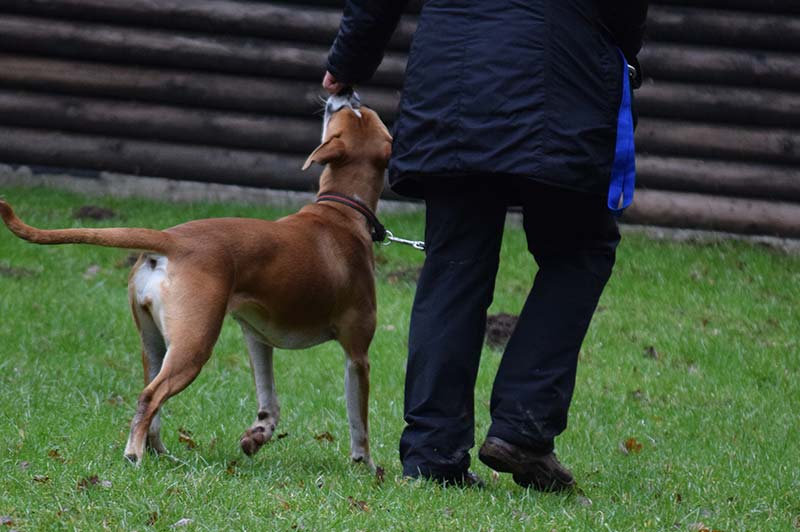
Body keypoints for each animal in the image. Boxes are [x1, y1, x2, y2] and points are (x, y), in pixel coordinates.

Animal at [0, 93, 394, 468]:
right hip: (193, 347)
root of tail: (171, 240)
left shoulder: (257, 339)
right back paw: (134, 455)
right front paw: (365, 464)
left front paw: (258, 435)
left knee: (152, 404)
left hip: (155, 345)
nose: (346, 94)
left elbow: (269, 401)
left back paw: (160, 454)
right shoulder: (357, 355)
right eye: (353, 114)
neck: (341, 210)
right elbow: (358, 421)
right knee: (149, 397)